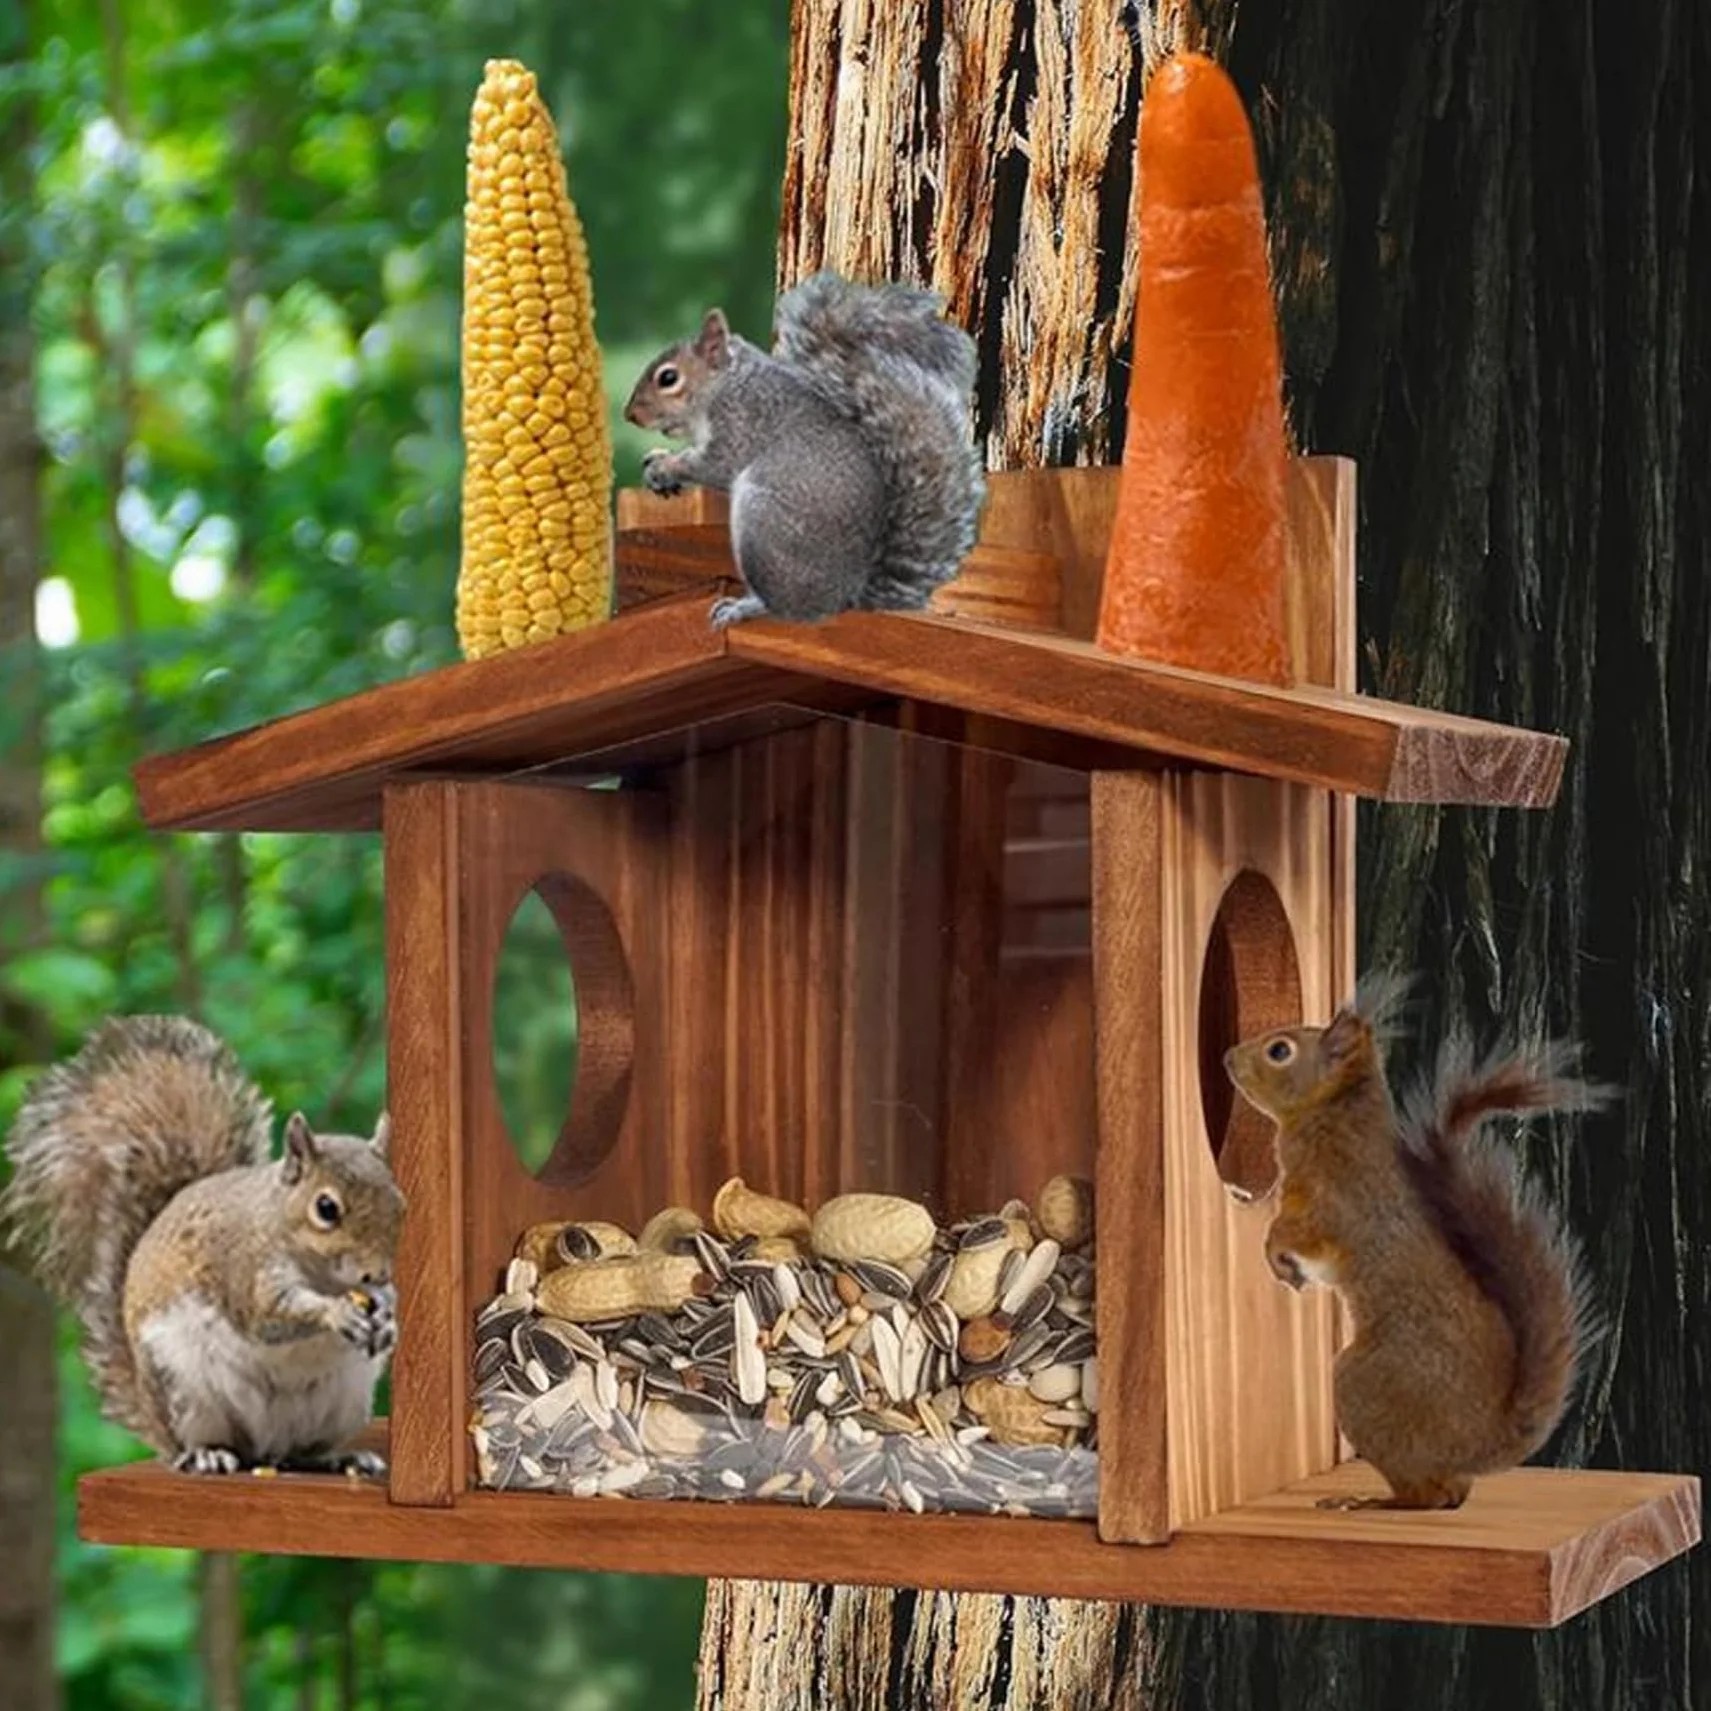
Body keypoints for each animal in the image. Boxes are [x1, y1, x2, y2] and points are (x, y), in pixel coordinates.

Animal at [0, 1015, 405, 1478]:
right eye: (326, 1208)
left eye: (400, 1203)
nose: (377, 1273)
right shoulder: (245, 1269)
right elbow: (270, 1314)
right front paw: (336, 1313)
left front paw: (388, 1317)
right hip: (183, 1390)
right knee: (209, 1443)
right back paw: (207, 1453)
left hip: (342, 1402)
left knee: (298, 1453)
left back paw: (340, 1458)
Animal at [623, 269, 986, 629]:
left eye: (668, 378)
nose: (630, 415)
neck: (725, 384)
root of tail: (845, 597)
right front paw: (657, 461)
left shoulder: (742, 421)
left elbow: (716, 465)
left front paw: (666, 467)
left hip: (763, 522)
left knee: (787, 608)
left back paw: (745, 607)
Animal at [1223, 980, 1609, 1511]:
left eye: (1280, 1050)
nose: (1226, 1057)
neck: (1333, 1114)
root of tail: (1481, 1443)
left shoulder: (1333, 1203)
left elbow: (1296, 1233)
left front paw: (1274, 1254)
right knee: (1450, 1494)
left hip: (1366, 1388)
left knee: (1427, 1496)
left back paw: (1374, 1502)